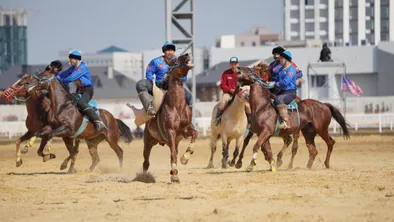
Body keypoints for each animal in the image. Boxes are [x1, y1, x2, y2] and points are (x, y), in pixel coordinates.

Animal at [135, 53, 197, 182]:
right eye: (176, 60)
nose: (187, 54)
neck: (177, 106)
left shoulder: (185, 130)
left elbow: (195, 134)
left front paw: (185, 157)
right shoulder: (170, 131)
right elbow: (172, 154)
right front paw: (174, 177)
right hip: (148, 141)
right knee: (146, 162)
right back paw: (145, 176)